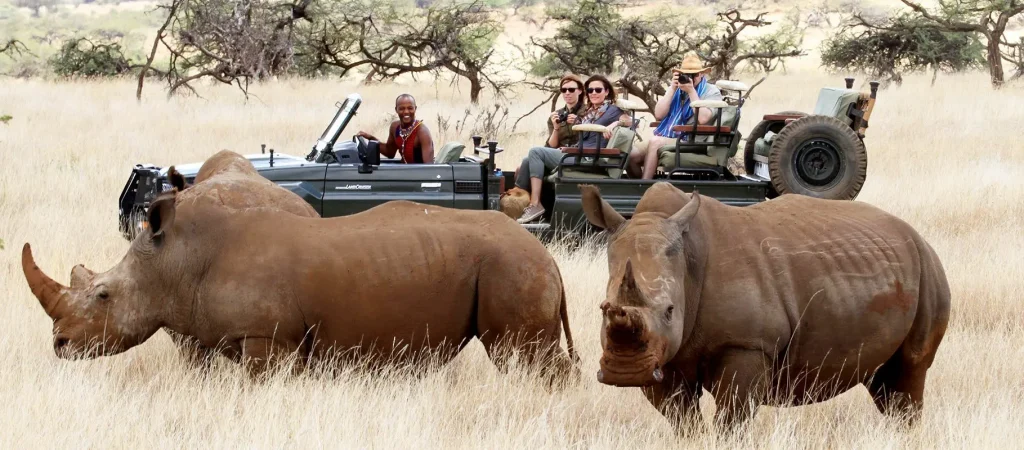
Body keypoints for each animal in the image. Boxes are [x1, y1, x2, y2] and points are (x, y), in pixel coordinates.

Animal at [22, 168, 579, 383]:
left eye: (102, 295)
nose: (60, 346)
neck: (175, 258)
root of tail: (546, 252)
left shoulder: (267, 339)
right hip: (513, 265)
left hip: (512, 266)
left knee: (522, 358)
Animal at [579, 182, 950, 428]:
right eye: (603, 308)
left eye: (670, 311)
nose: (625, 373)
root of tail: (916, 235)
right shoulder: (662, 356)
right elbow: (682, 420)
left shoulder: (747, 344)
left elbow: (732, 419)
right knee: (883, 382)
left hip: (930, 269)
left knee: (910, 374)